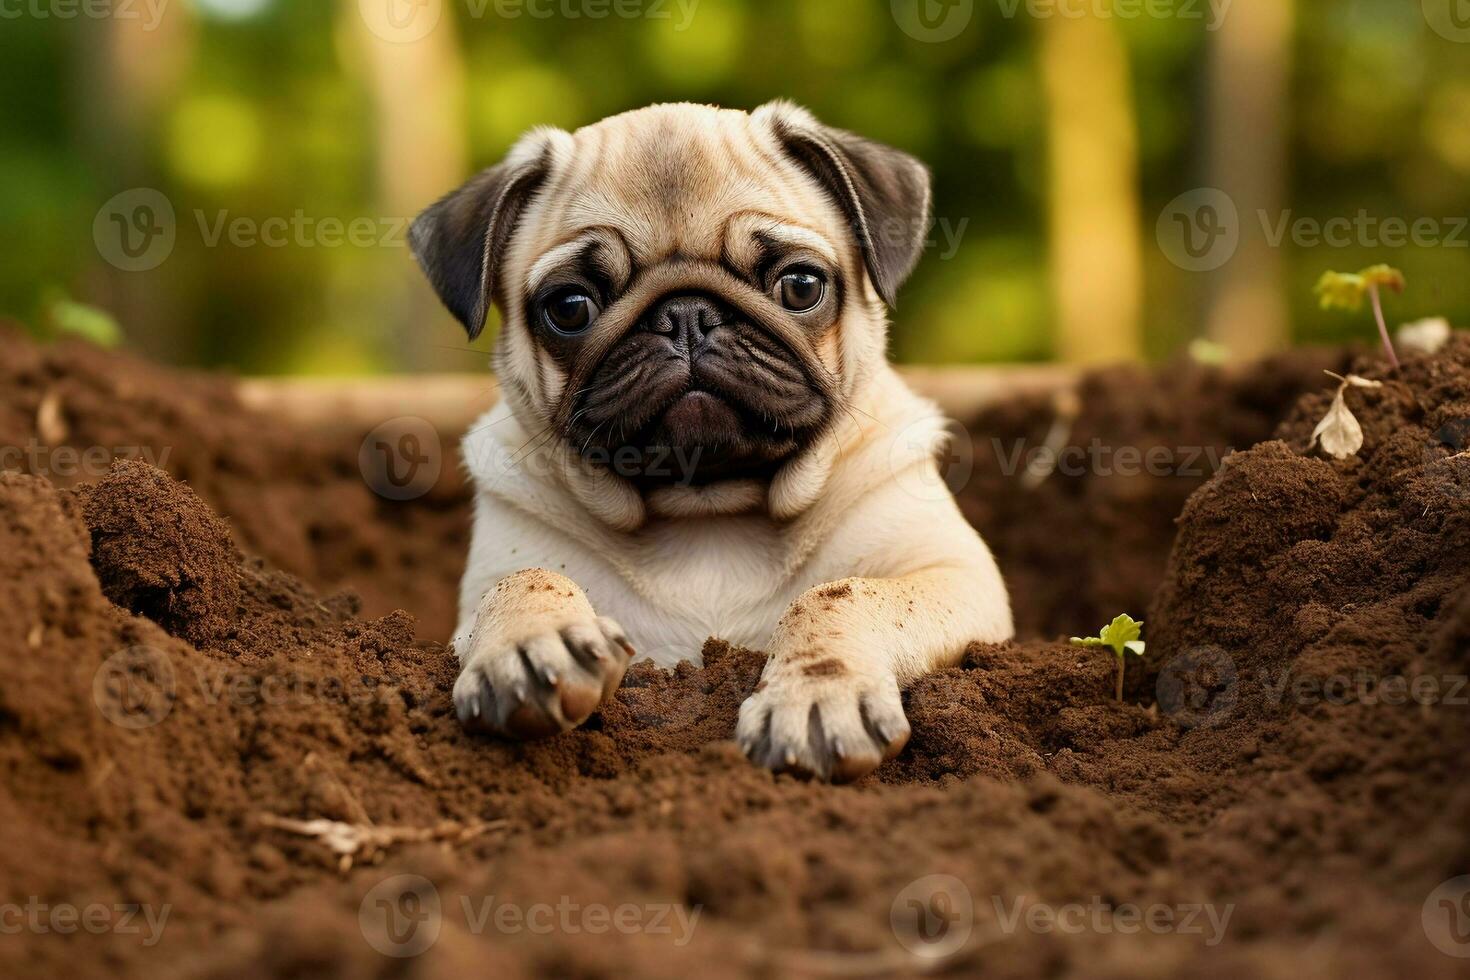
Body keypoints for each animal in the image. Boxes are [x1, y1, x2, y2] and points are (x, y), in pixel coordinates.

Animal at [414, 103, 1011, 787]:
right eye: (569, 307)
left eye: (801, 286)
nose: (685, 315)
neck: (708, 506)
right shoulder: (489, 586)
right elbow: (521, 579)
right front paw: (531, 649)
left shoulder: (952, 574)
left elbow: (843, 594)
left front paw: (815, 695)